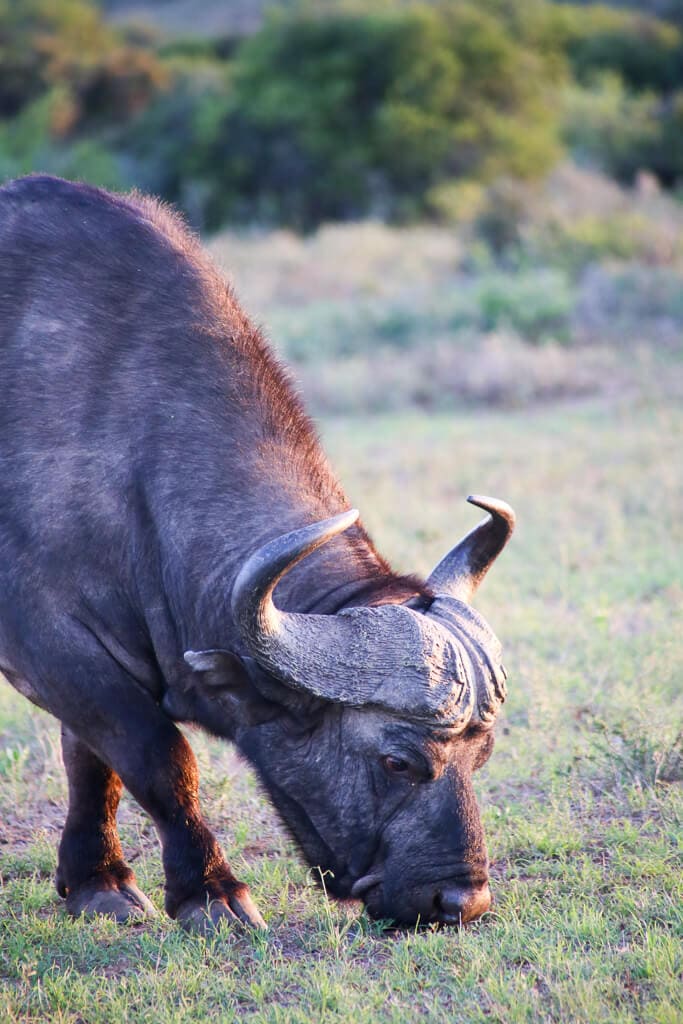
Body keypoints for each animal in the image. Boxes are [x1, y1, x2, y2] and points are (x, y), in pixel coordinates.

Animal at [0, 176, 514, 930]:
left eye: (481, 755)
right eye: (397, 761)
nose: (460, 901)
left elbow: (91, 762)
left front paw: (96, 880)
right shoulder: (49, 644)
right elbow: (157, 756)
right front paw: (209, 891)